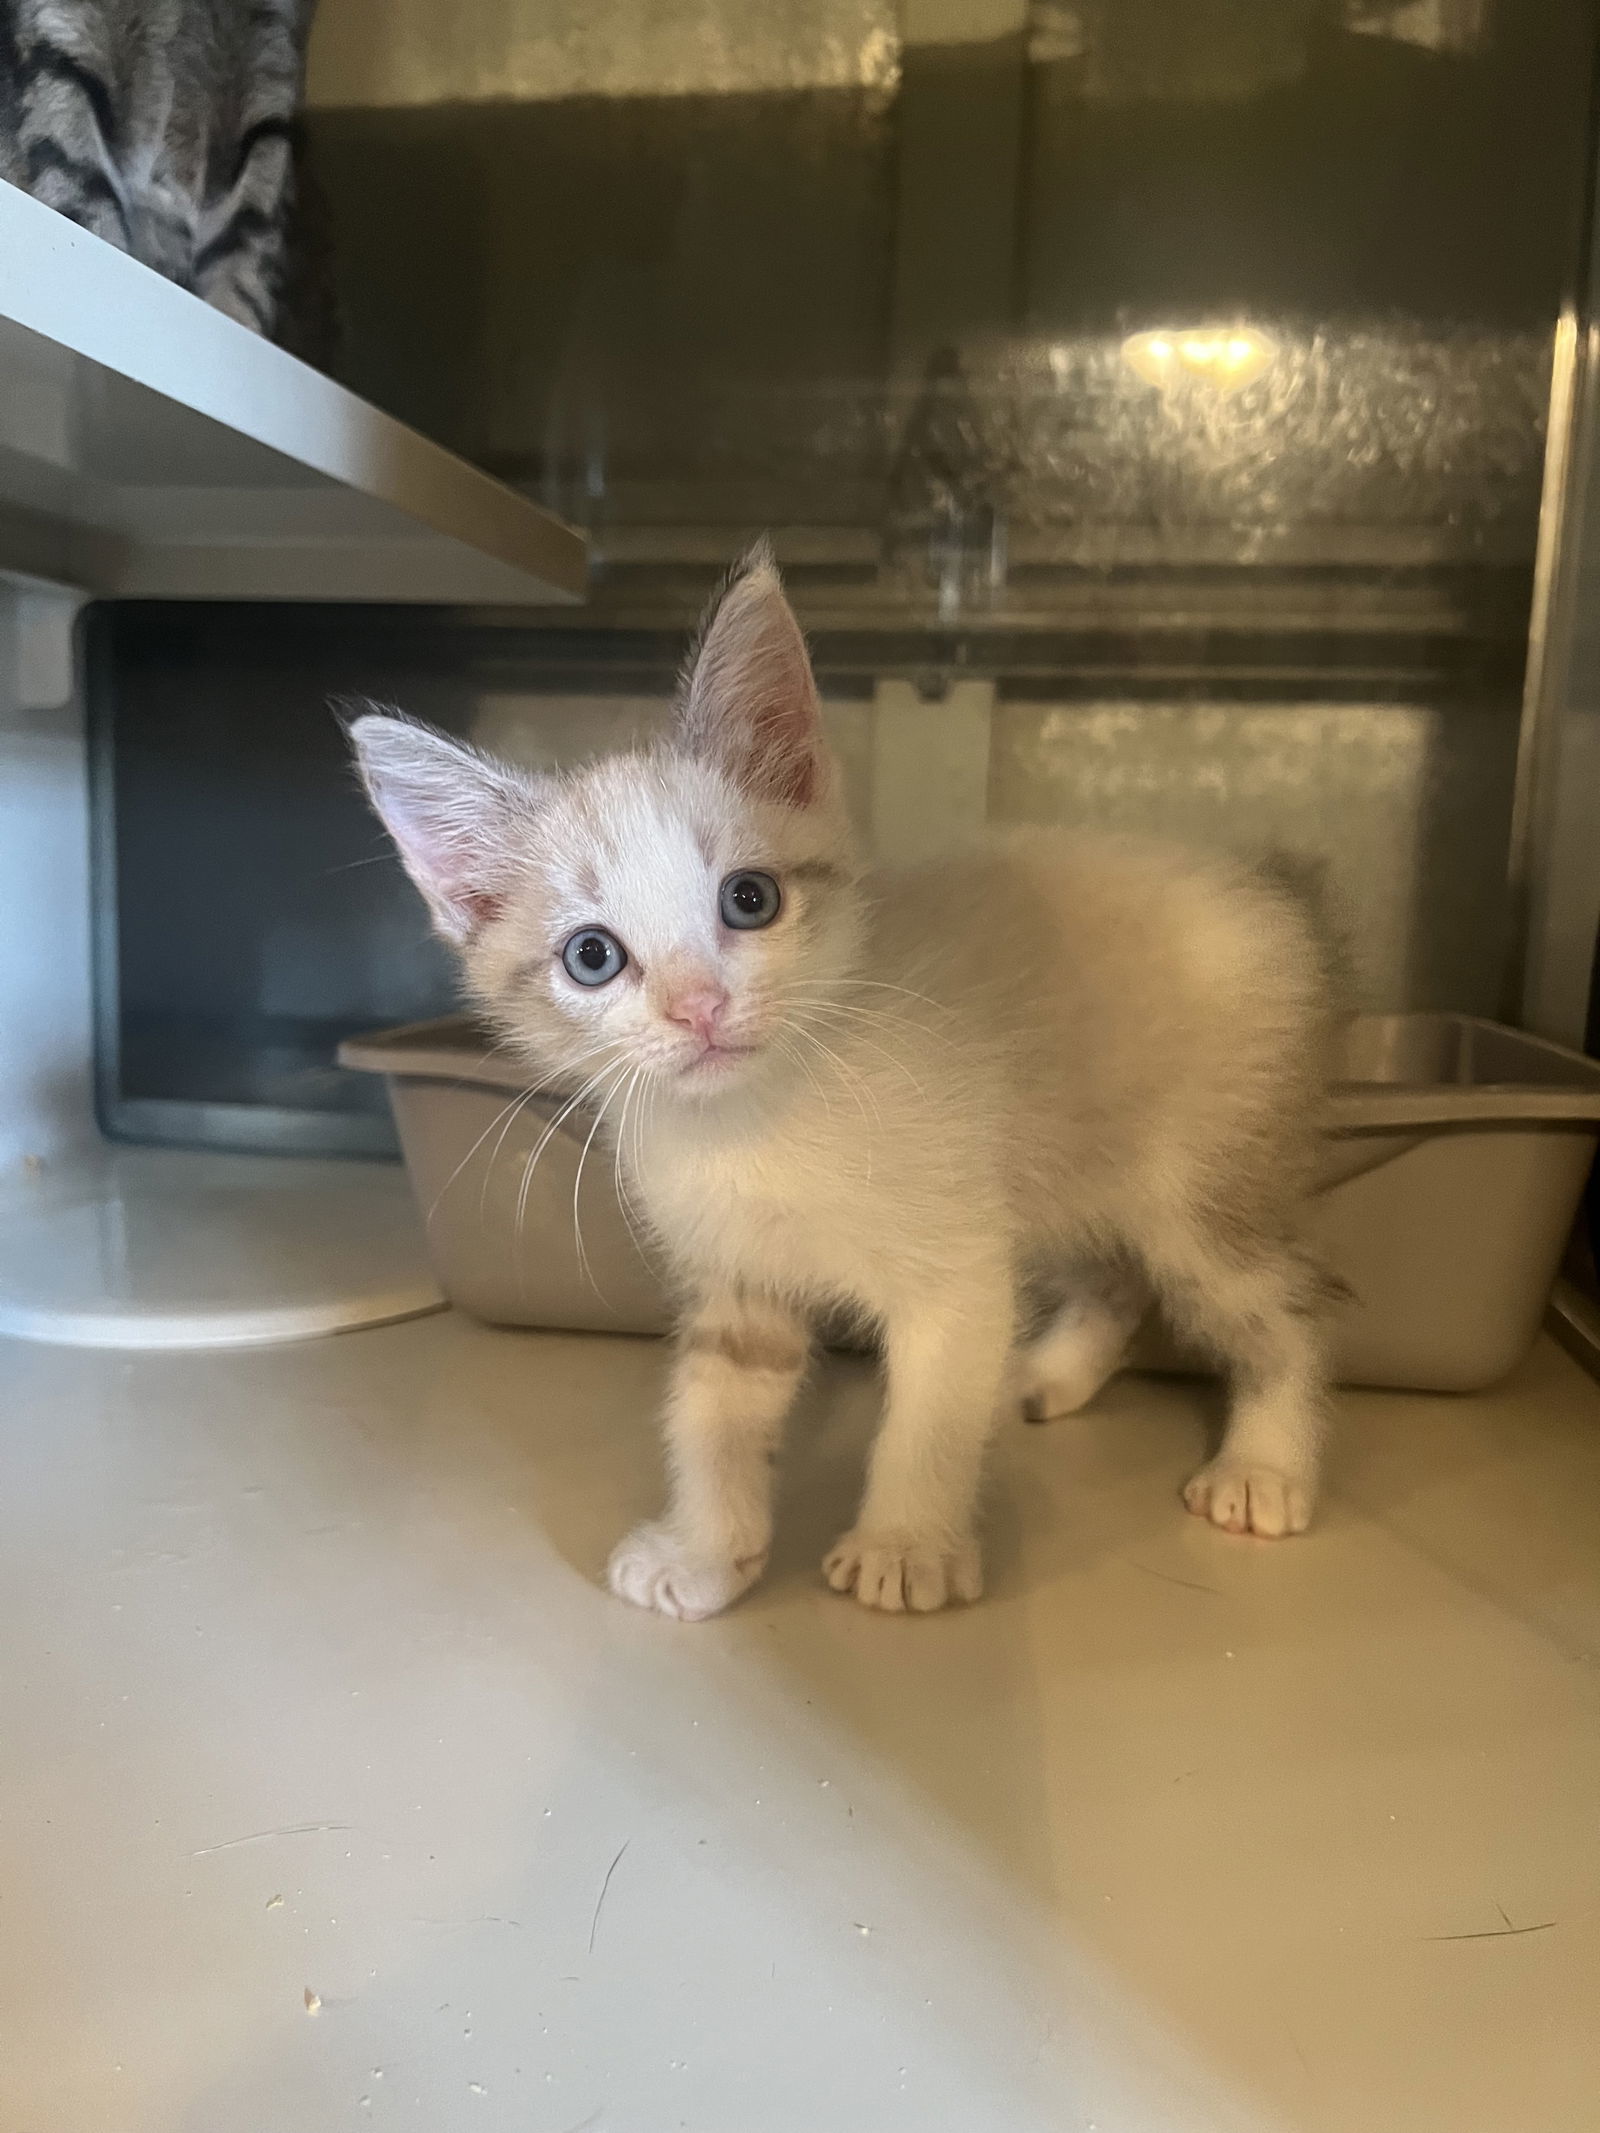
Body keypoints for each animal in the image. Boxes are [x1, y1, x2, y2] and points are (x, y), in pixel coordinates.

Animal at [349, 546, 1339, 1612]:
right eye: (591, 957)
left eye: (749, 899)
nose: (699, 1006)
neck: (757, 1124)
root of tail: (1258, 887)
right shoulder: (739, 1278)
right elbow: (711, 1412)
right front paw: (704, 1550)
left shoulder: (957, 1269)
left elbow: (930, 1413)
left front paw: (905, 1543)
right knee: (1113, 1277)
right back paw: (1047, 1374)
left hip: (1198, 1186)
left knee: (1282, 1309)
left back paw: (1267, 1464)